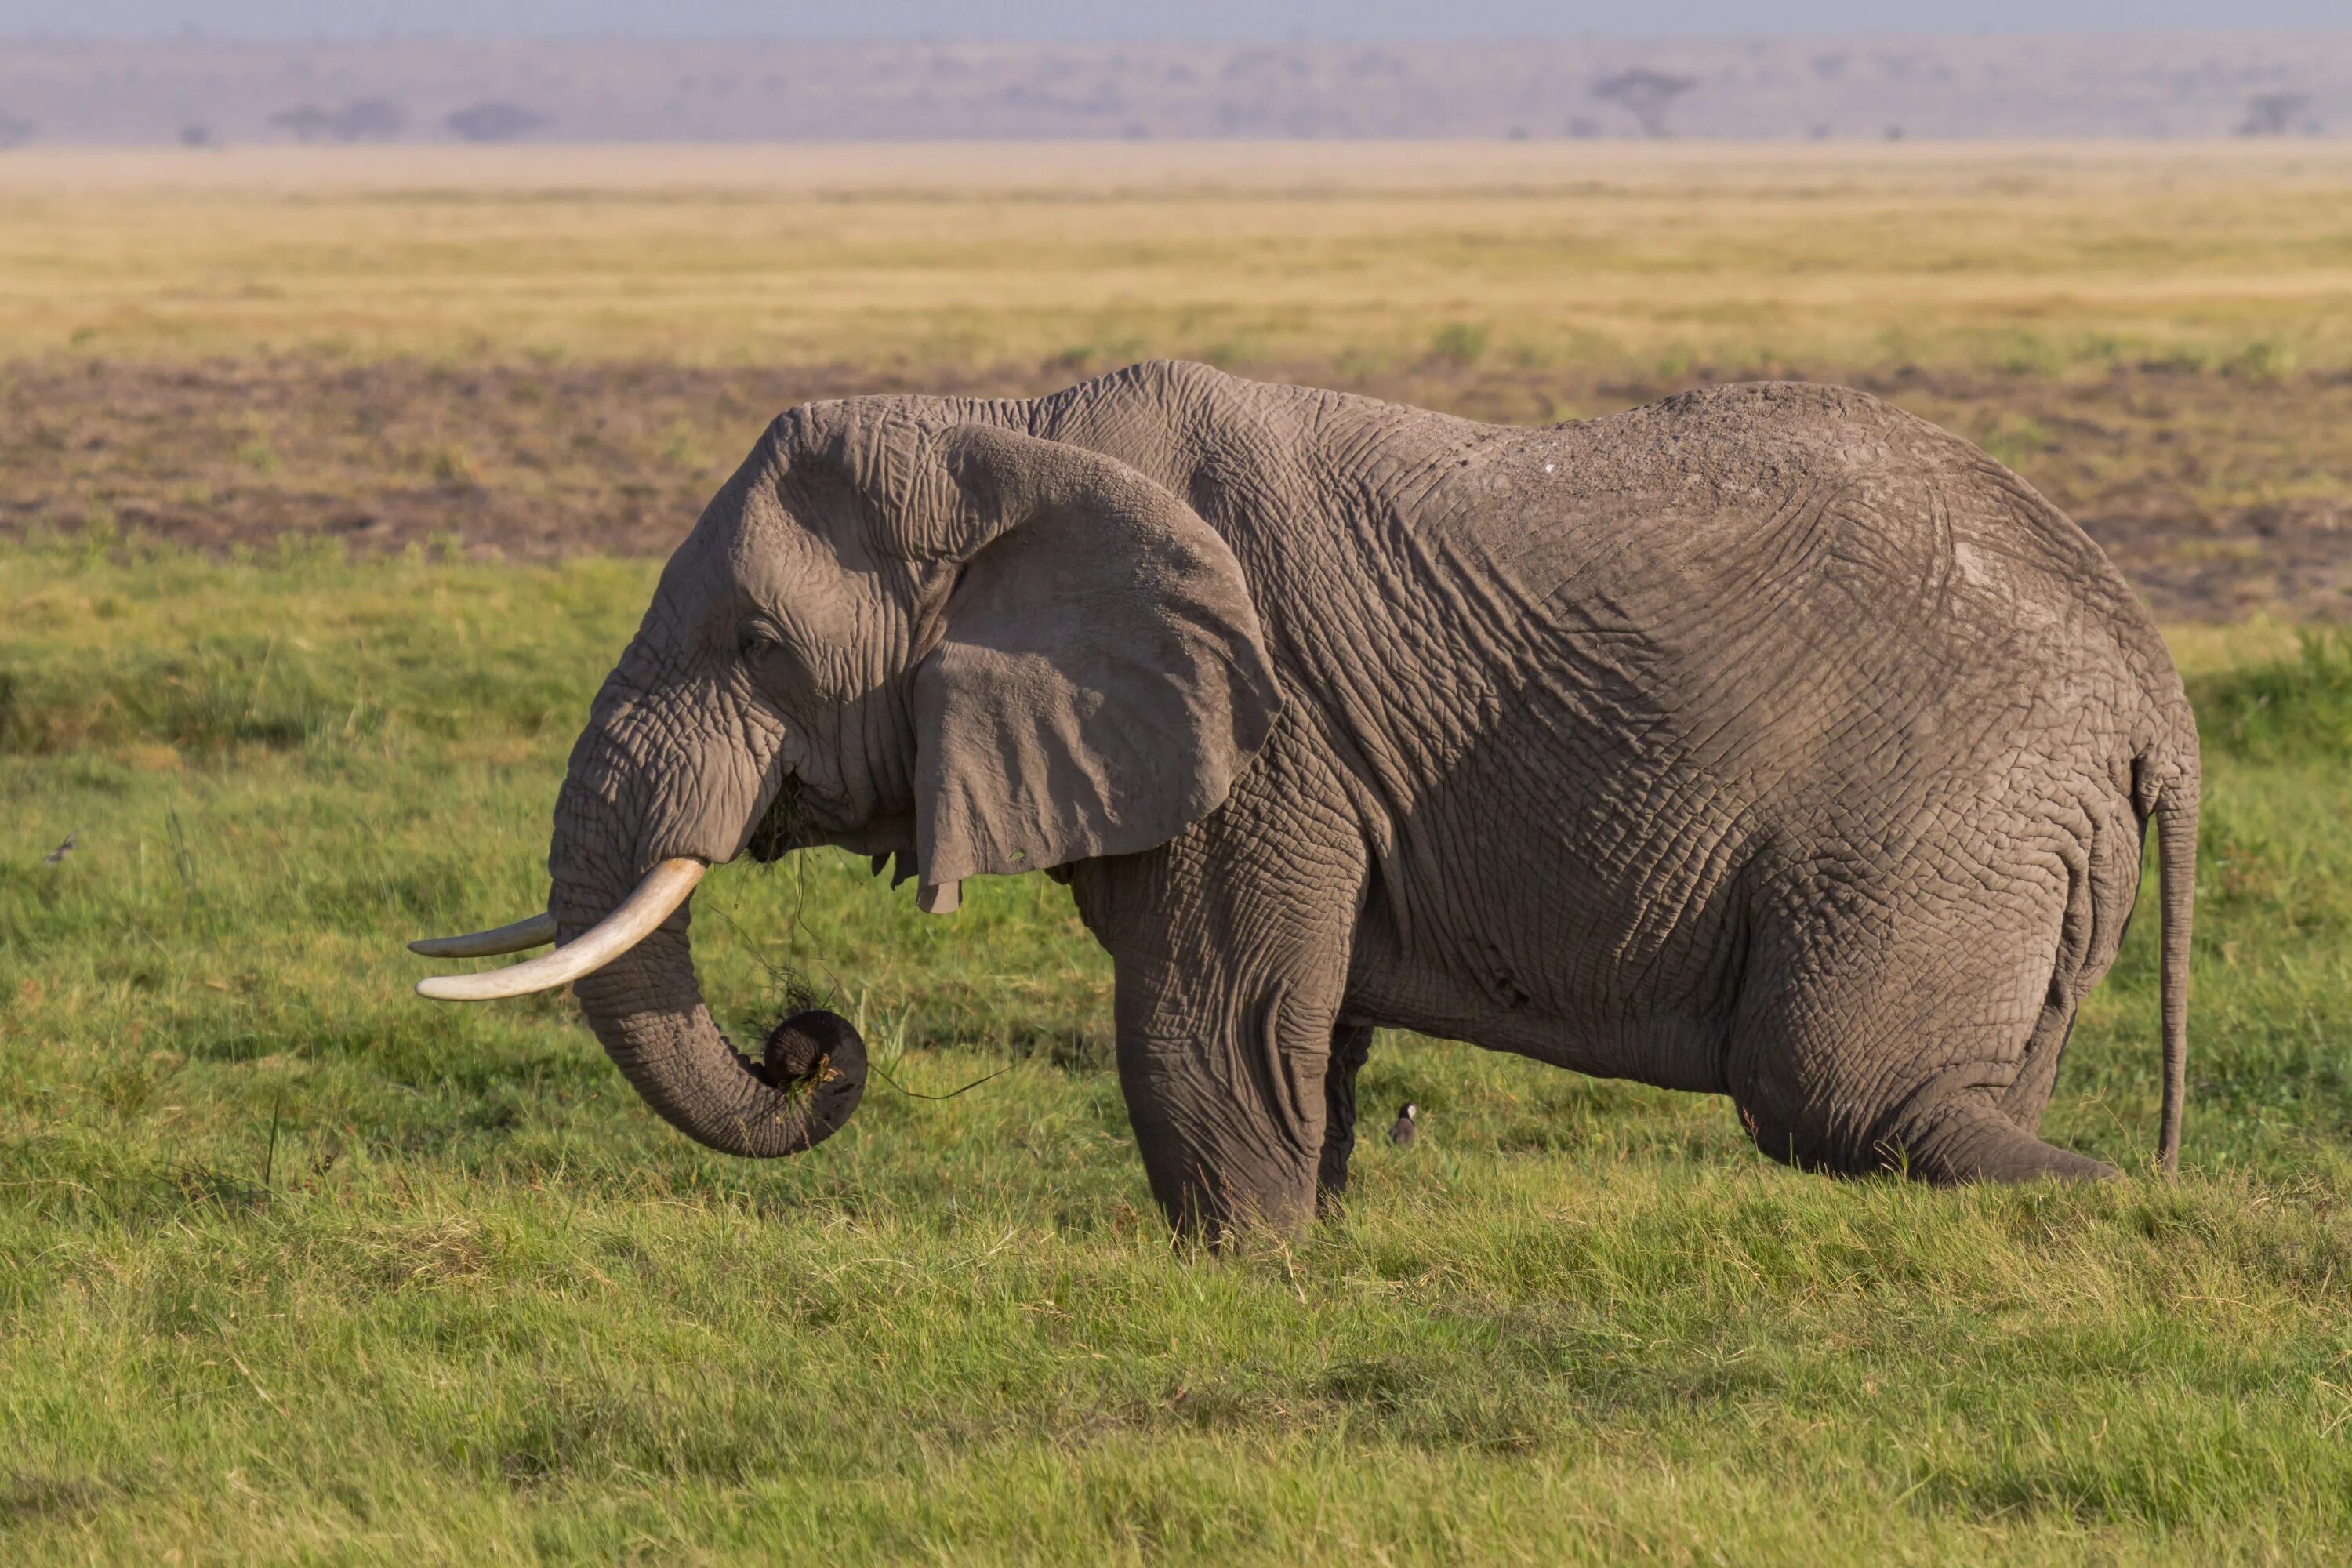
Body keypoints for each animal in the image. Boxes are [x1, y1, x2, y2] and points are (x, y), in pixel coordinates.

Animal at [409, 359, 2201, 1241]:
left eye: (759, 648)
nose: (805, 1041)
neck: (1006, 433)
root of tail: (2155, 695)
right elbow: (1303, 1023)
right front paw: (1314, 1248)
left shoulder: (1268, 733)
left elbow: (1211, 1013)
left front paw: (1250, 1271)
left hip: (1941, 814)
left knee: (1835, 1092)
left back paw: (2125, 1208)